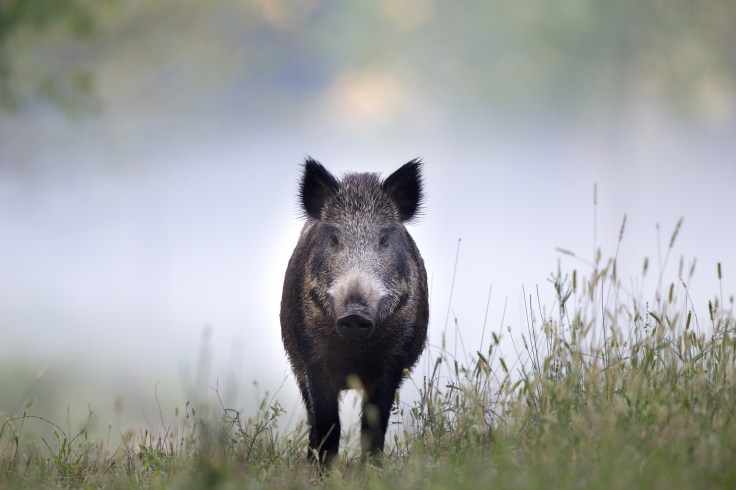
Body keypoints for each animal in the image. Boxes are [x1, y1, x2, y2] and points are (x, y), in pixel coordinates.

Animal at [280, 158, 429, 467]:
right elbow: (327, 422)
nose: (355, 315)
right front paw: (323, 470)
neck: (355, 352)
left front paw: (372, 469)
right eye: (335, 238)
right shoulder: (312, 357)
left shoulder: (393, 360)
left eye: (383, 239)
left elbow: (374, 423)